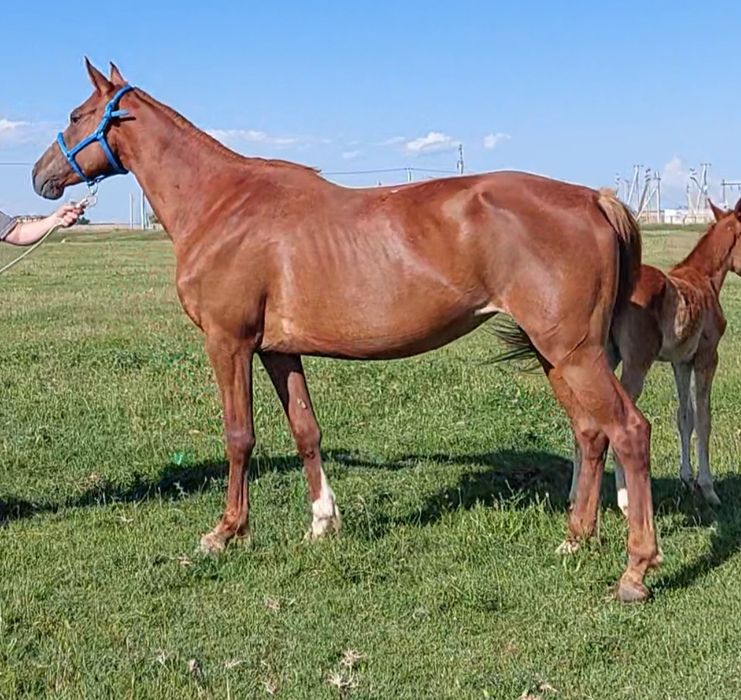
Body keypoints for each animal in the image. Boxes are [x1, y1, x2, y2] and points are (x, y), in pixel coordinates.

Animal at [32, 60, 660, 602]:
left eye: (75, 114)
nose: (40, 175)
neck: (222, 204)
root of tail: (594, 198)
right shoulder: (278, 352)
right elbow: (305, 431)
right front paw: (322, 522)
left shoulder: (228, 343)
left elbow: (239, 436)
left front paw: (225, 532)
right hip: (560, 356)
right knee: (590, 433)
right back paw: (575, 538)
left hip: (574, 354)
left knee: (629, 431)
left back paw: (635, 571)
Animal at [569, 199, 741, 515]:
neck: (704, 279)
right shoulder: (707, 357)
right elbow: (704, 419)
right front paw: (707, 488)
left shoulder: (681, 361)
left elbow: (684, 416)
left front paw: (686, 479)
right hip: (636, 364)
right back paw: (625, 501)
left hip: (602, 359)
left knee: (584, 419)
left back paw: (577, 496)